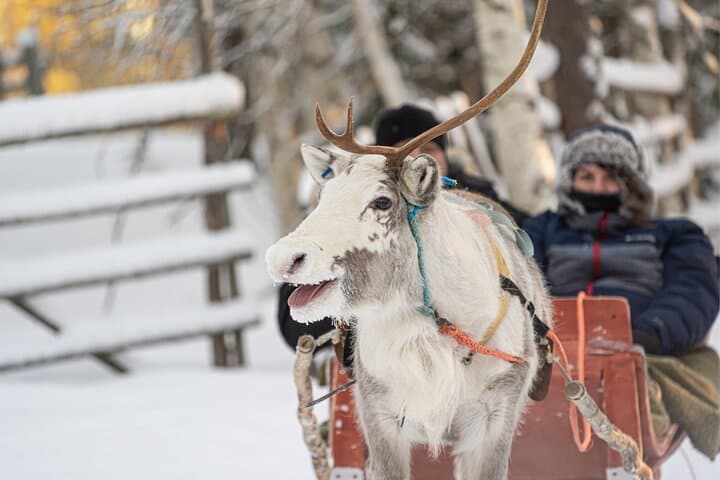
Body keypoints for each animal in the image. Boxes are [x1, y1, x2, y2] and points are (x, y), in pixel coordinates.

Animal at [266, 1, 552, 478]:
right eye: (323, 195)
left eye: (382, 201)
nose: (283, 258)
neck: (430, 328)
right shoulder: (378, 414)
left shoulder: (495, 415)